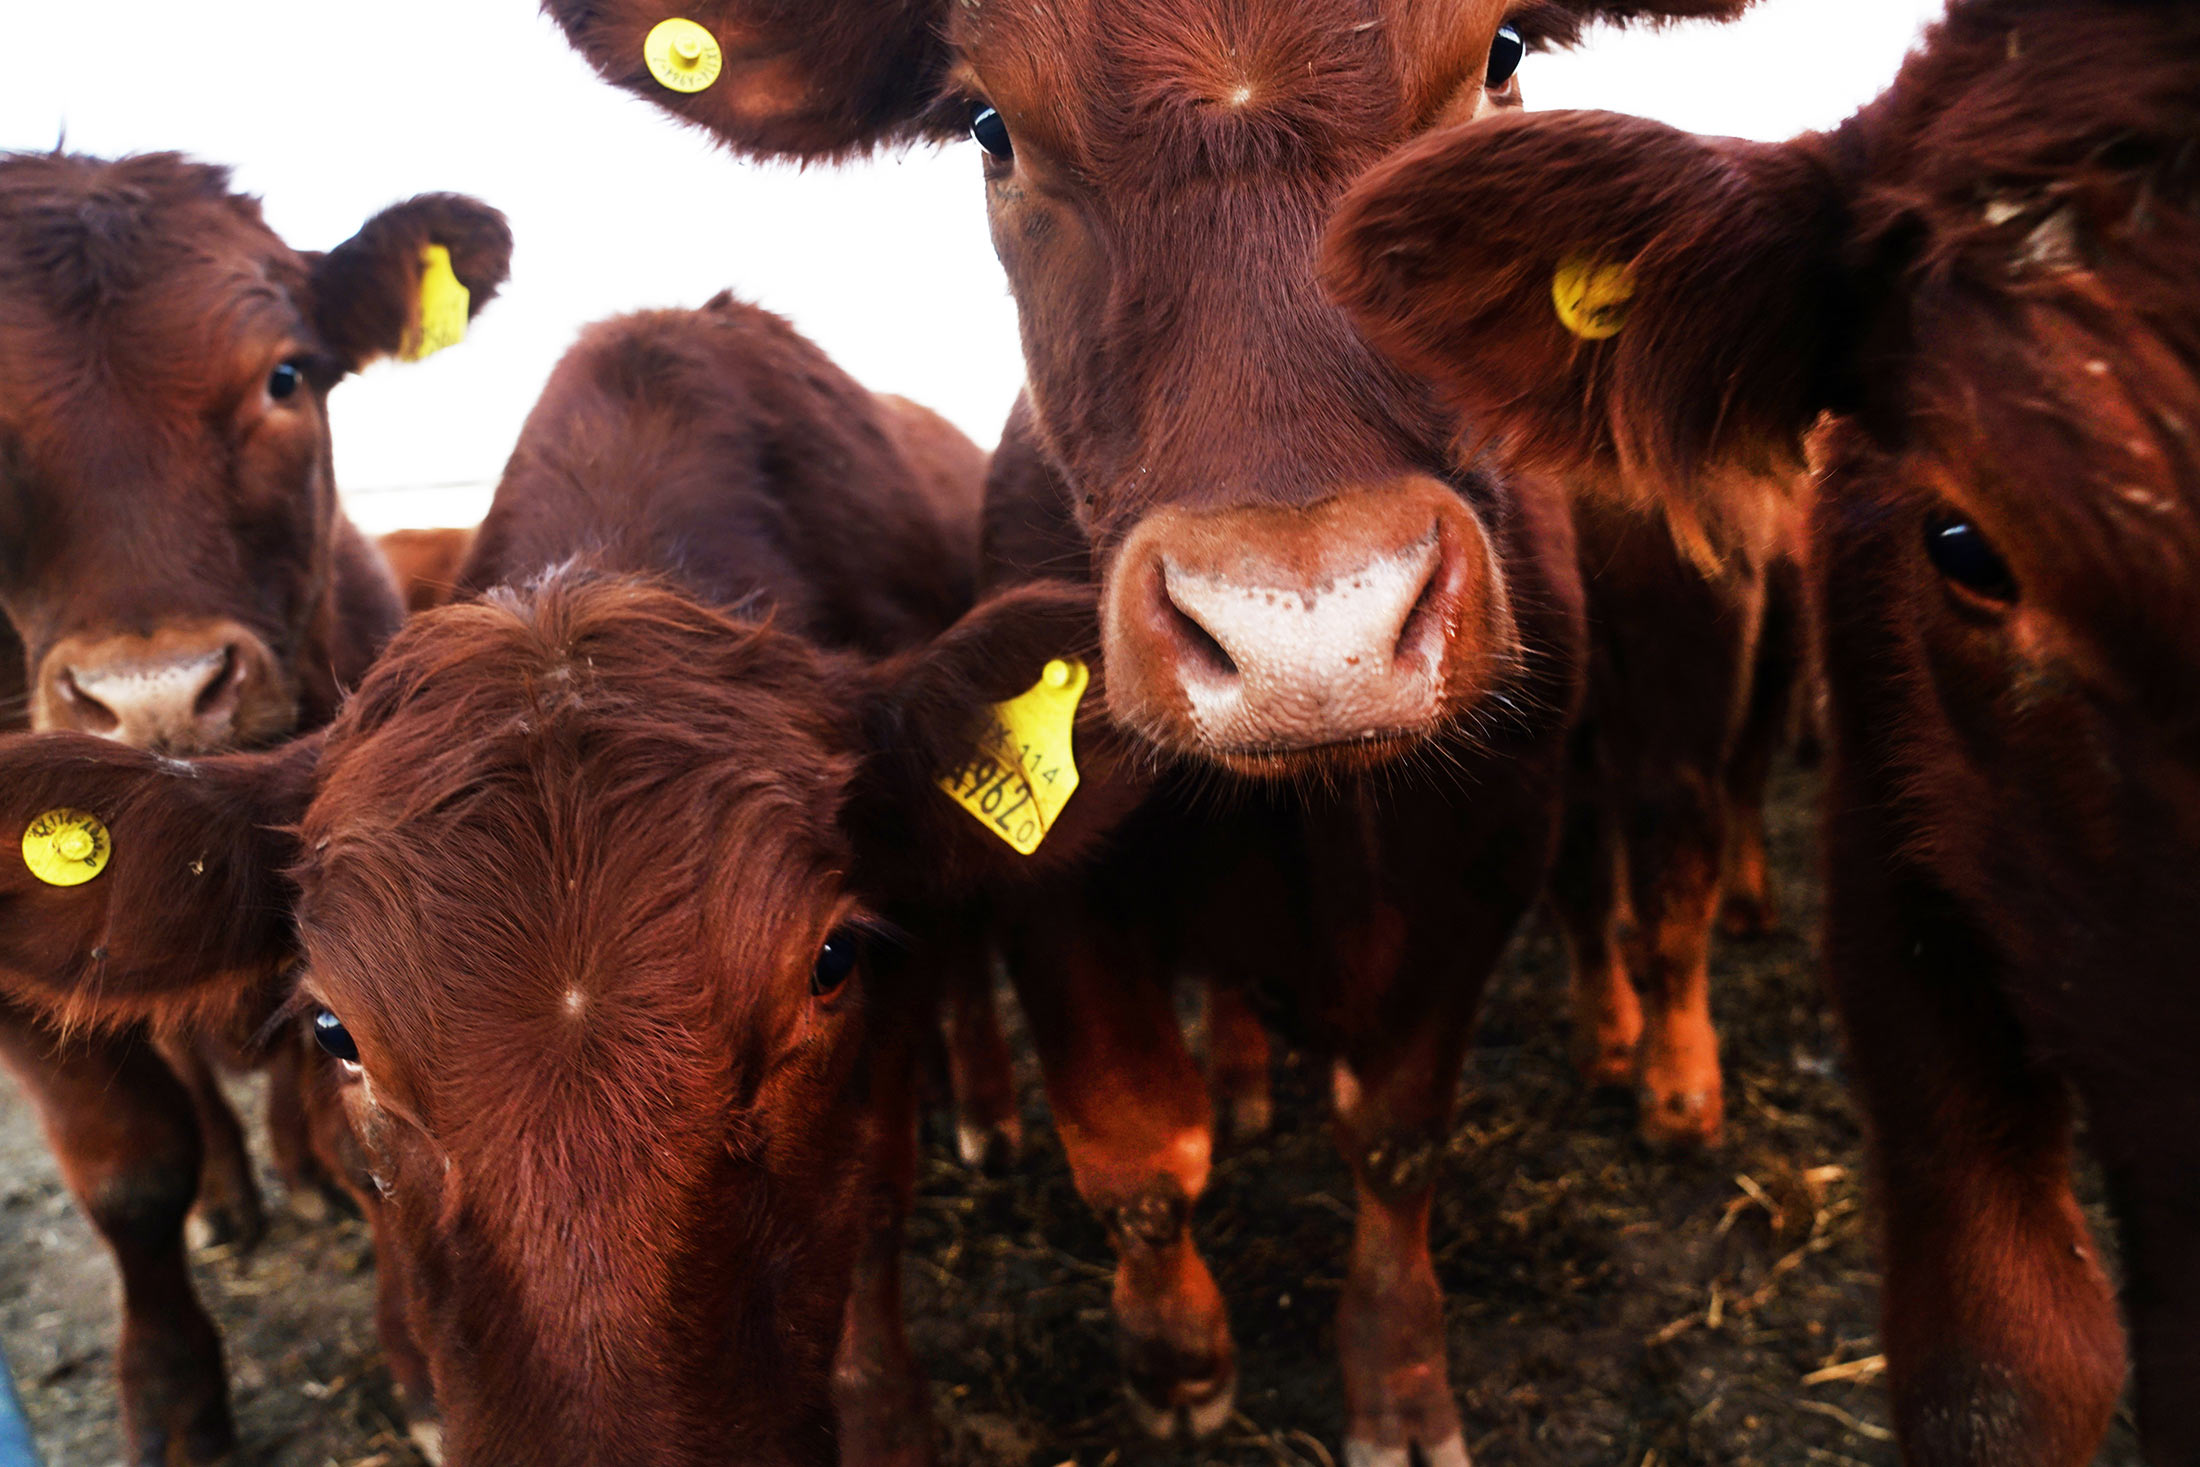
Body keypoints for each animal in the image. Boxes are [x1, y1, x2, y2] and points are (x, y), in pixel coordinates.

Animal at [0, 149, 510, 1466]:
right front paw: (173, 1399)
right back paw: (231, 1194)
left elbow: (359, 1124)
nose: (157, 695)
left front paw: (423, 1369)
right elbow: (130, 1172)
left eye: (286, 375)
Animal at [542, 2, 1765, 1459]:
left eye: (1502, 53)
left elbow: (1395, 1133)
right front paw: (1177, 1361)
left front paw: (1398, 1377)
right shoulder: (1057, 877)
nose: (1311, 629)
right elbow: (1135, 1146)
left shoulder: (1489, 846)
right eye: (990, 125)